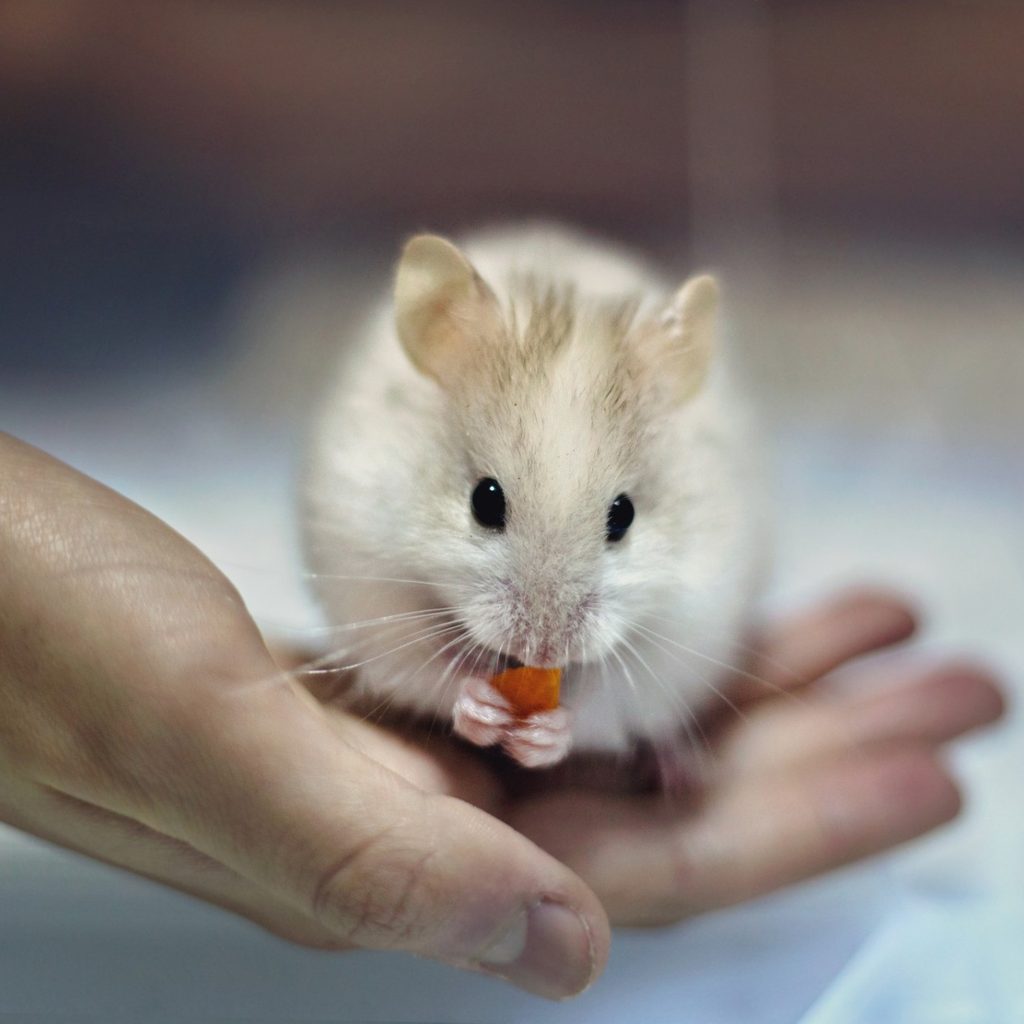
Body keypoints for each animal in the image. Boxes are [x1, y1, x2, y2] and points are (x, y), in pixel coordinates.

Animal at [301, 224, 767, 769]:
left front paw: (542, 735)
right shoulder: (372, 590)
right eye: (484, 500)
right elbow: (428, 673)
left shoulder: (684, 632)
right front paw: (482, 708)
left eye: (624, 515)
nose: (543, 651)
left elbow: (600, 707)